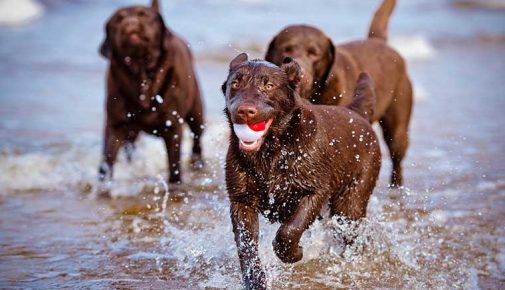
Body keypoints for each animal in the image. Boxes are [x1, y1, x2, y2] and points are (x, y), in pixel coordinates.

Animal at [98, 0, 203, 186]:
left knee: (197, 139)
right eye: (118, 20)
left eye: (143, 15)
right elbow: (107, 160)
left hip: (196, 112)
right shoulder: (115, 126)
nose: (130, 23)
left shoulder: (173, 127)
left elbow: (174, 165)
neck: (142, 73)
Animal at [222, 53, 380, 288]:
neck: (272, 150)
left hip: (349, 205)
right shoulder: (241, 201)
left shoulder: (314, 191)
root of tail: (355, 113)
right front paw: (255, 280)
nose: (245, 111)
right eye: (235, 83)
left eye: (268, 85)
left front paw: (294, 253)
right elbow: (247, 246)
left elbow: (289, 231)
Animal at [264, 0, 410, 187]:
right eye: (286, 50)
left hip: (397, 127)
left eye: (314, 54)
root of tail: (379, 42)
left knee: (397, 157)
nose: (300, 74)